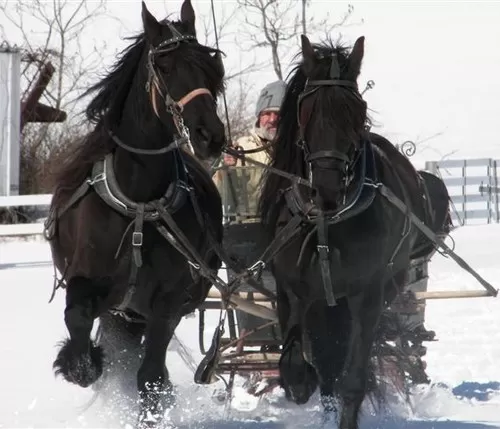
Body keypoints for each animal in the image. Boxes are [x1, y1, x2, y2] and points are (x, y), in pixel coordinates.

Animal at [46, 1, 226, 426]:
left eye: (211, 65)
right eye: (165, 66)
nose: (210, 135)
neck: (140, 204)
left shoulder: (167, 303)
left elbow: (151, 378)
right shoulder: (84, 279)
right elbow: (78, 322)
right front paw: (81, 365)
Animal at [260, 35, 452, 426]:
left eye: (357, 110)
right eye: (307, 109)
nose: (327, 188)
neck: (328, 222)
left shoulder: (367, 294)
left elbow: (352, 380)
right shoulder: (292, 291)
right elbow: (296, 369)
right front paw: (303, 381)